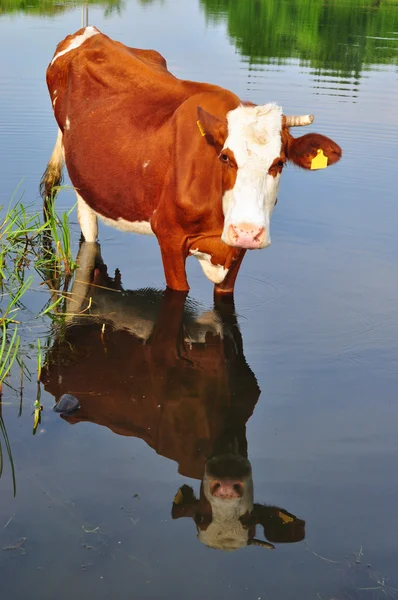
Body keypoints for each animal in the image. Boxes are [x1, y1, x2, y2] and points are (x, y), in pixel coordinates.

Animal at [41, 28, 342, 296]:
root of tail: (91, 32)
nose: (247, 231)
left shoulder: (236, 250)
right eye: (225, 157)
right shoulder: (170, 237)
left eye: (279, 163)